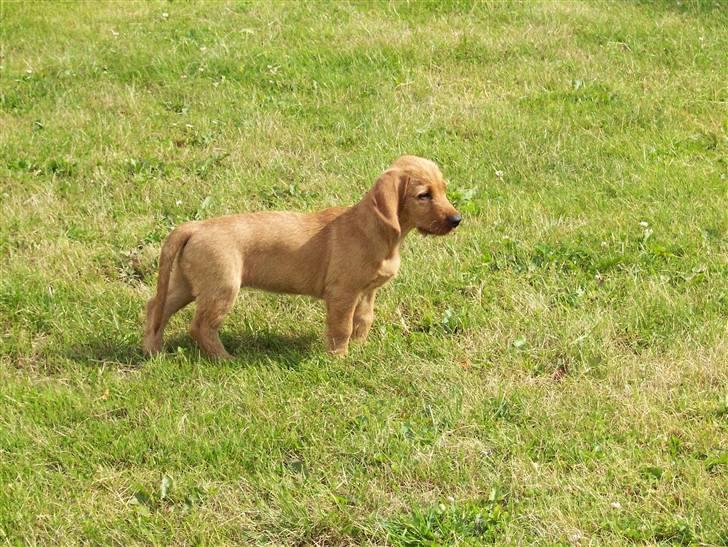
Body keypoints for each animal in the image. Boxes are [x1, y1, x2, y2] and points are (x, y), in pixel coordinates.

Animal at [142, 155, 460, 360]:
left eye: (443, 189)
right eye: (423, 195)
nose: (457, 220)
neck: (378, 232)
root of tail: (195, 226)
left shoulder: (367, 292)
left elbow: (364, 320)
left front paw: (359, 350)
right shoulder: (342, 294)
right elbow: (342, 327)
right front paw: (340, 359)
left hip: (188, 284)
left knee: (156, 307)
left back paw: (152, 350)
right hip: (222, 288)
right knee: (201, 327)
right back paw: (224, 359)